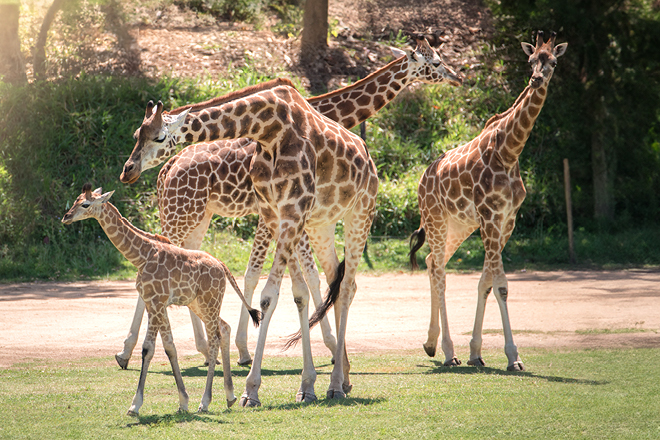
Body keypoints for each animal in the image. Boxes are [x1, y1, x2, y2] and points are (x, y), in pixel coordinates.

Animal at [61, 183, 261, 416]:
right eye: (75, 200)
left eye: (85, 204)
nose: (66, 217)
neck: (141, 256)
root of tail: (222, 265)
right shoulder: (155, 304)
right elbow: (169, 347)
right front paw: (183, 402)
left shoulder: (156, 302)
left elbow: (148, 349)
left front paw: (135, 405)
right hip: (199, 304)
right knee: (225, 328)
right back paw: (230, 396)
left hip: (209, 302)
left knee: (214, 340)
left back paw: (205, 402)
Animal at [116, 38, 462, 368]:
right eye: (436, 62)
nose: (457, 77)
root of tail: (166, 173)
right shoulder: (279, 212)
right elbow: (287, 275)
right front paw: (311, 348)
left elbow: (292, 275)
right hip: (182, 215)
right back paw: (128, 351)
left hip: (197, 217)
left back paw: (192, 348)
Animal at [409, 31, 567, 371]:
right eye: (531, 60)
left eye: (553, 62)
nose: (536, 79)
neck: (510, 152)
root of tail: (422, 180)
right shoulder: (490, 217)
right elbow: (501, 284)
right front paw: (512, 357)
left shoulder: (507, 220)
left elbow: (486, 282)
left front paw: (477, 352)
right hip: (437, 220)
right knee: (440, 272)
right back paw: (447, 351)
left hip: (458, 226)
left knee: (432, 262)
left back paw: (431, 344)